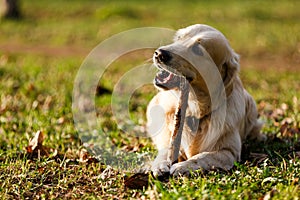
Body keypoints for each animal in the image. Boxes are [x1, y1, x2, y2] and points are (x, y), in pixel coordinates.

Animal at [146, 23, 266, 177]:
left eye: (197, 50)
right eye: (179, 38)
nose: (159, 53)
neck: (195, 109)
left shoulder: (229, 152)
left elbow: (203, 156)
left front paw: (183, 166)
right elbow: (167, 149)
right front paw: (160, 164)